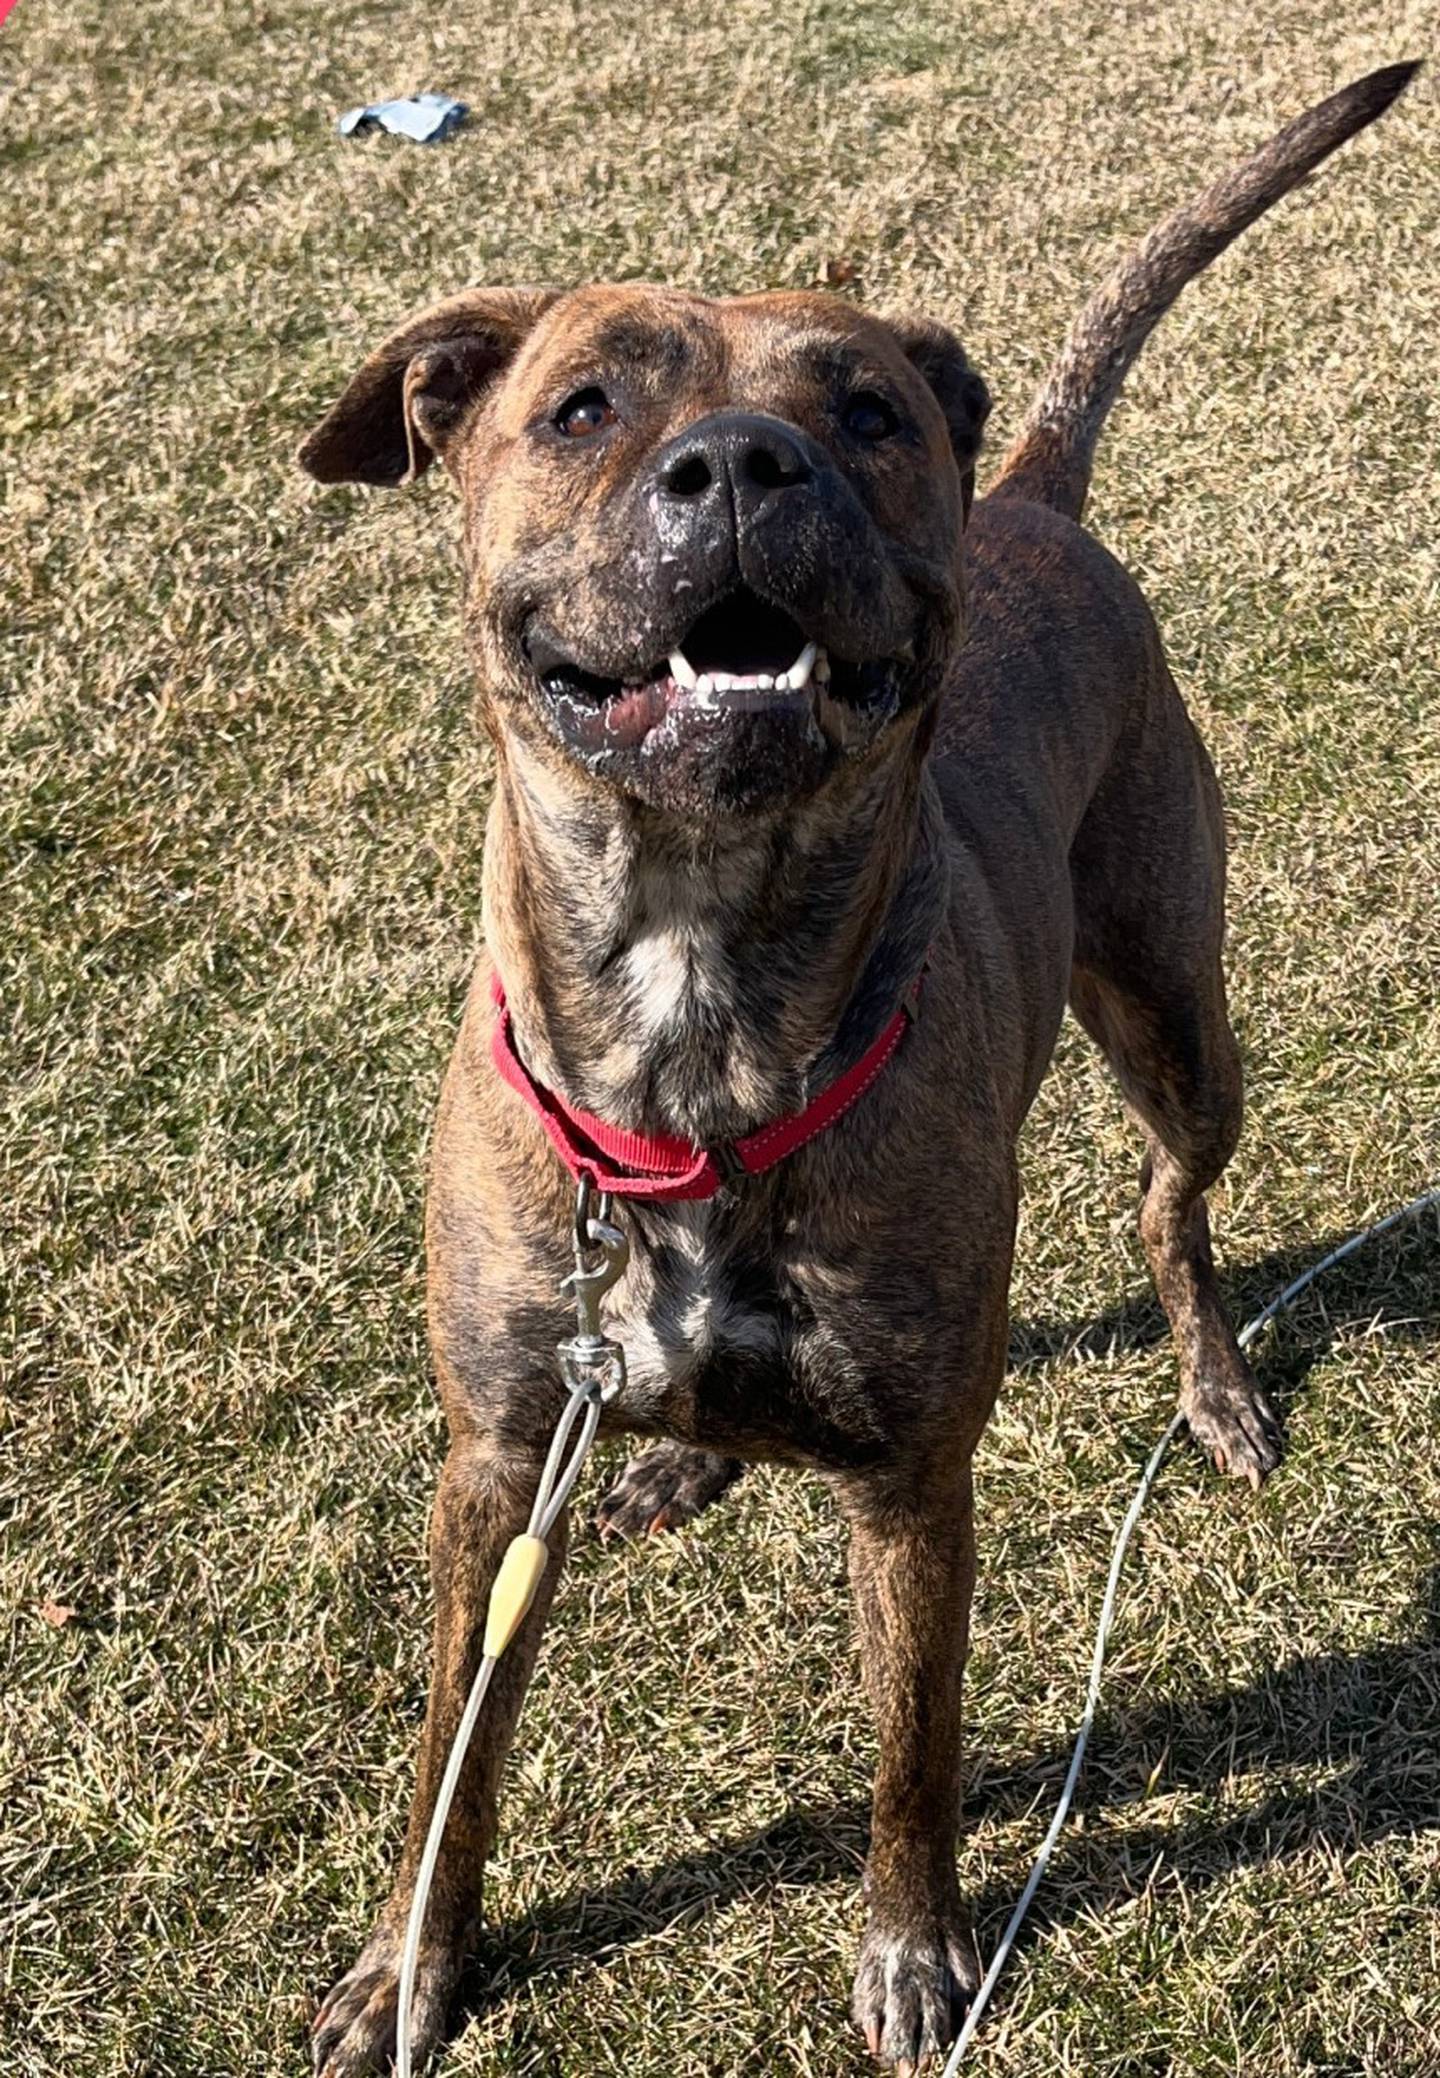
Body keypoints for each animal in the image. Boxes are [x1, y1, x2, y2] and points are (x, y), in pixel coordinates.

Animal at [297, 69, 1412, 2078]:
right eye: (584, 405)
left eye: (868, 412)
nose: (743, 464)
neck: (698, 1022)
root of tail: (1030, 492)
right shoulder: (493, 1464)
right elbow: (453, 1757)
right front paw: (408, 1965)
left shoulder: (913, 1484)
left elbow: (913, 1748)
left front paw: (911, 1947)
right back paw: (682, 1459)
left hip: (1177, 1015)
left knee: (1171, 1201)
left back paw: (1212, 1381)